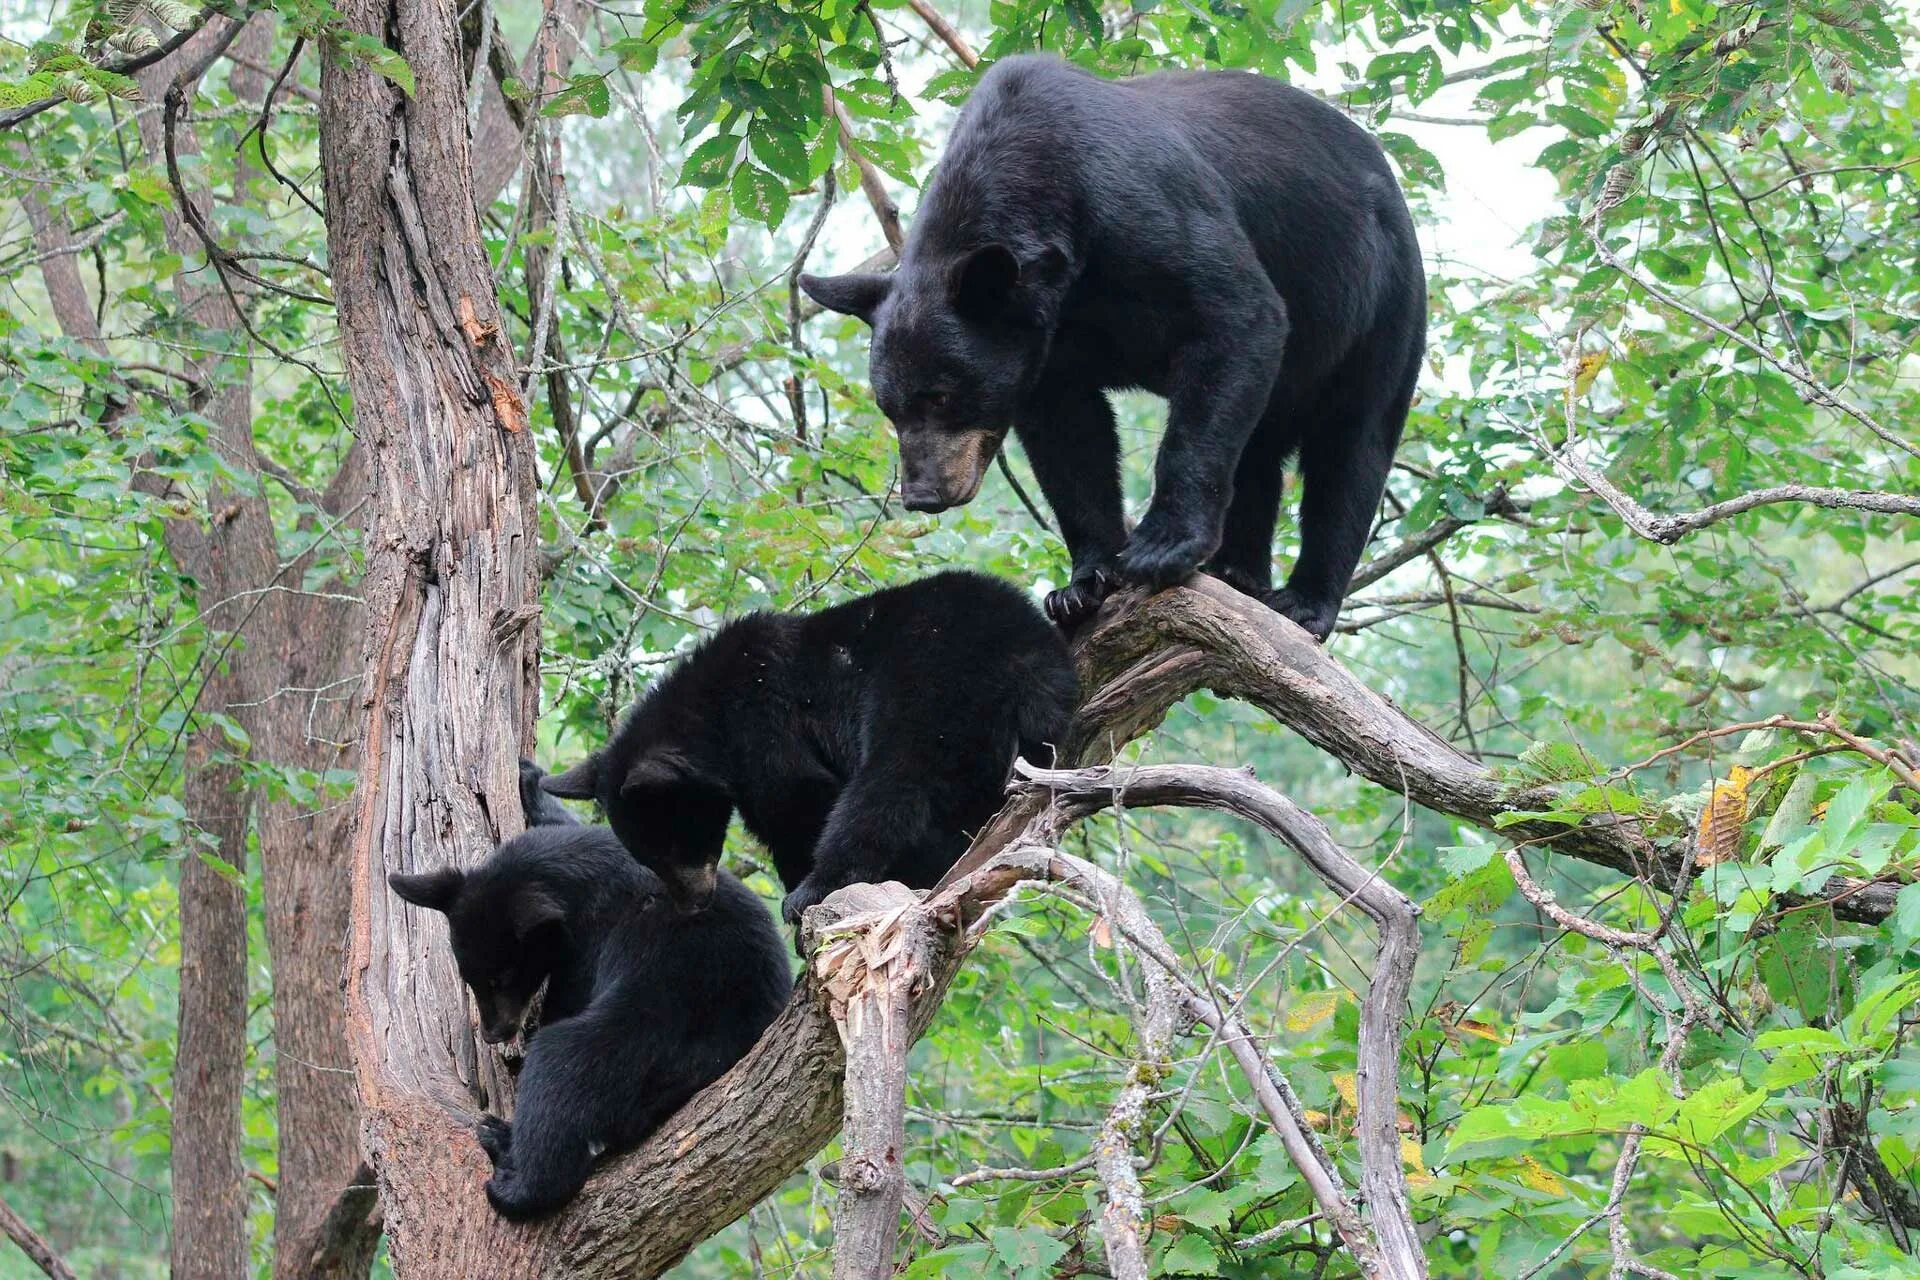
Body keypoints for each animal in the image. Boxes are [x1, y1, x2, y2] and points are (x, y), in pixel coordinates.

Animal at [389, 759, 787, 1220]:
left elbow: (568, 1005)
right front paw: (532, 779)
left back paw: (512, 1171)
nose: (493, 1032)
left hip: (660, 1032)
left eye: (501, 977)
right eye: (468, 976)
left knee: (566, 1065)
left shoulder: (591, 945)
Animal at [541, 571, 1082, 921]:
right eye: (647, 855)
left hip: (929, 688)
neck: (711, 712)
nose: (693, 903)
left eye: (673, 843)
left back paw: (823, 887)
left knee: (889, 787)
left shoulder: (764, 723)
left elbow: (800, 798)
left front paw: (801, 883)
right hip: (1033, 710)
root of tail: (1017, 653)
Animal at [798, 55, 1428, 644]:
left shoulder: (1143, 208)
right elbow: (1071, 440)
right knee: (1257, 450)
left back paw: (1303, 601)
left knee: (1352, 446)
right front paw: (1081, 585)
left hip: (1381, 304)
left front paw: (1161, 546)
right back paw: (1238, 574)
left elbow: (1238, 315)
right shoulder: (1050, 342)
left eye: (942, 397)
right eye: (889, 409)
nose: (923, 494)